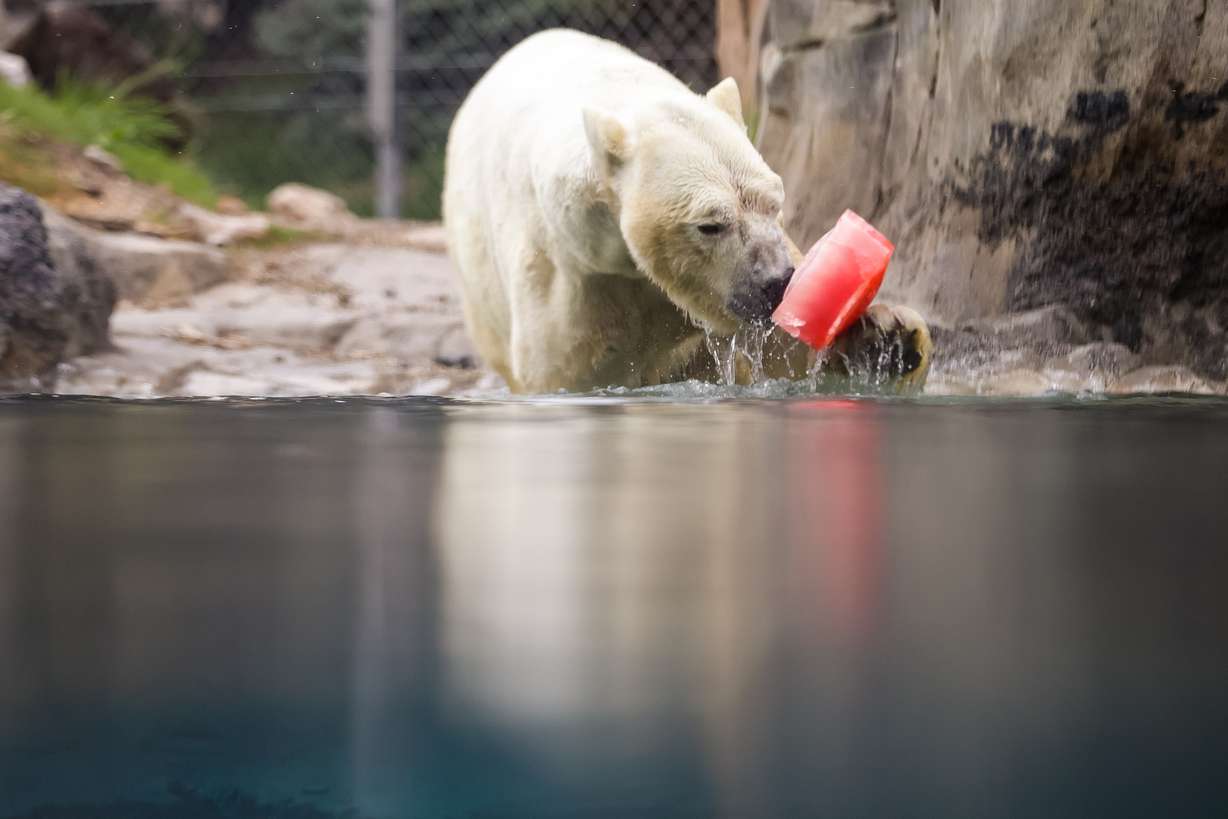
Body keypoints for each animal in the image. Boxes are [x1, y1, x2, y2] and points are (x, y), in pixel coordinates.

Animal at [444, 29, 930, 393]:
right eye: (710, 225)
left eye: (774, 201)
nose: (777, 282)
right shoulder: (573, 275)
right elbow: (568, 369)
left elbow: (789, 353)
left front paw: (886, 334)